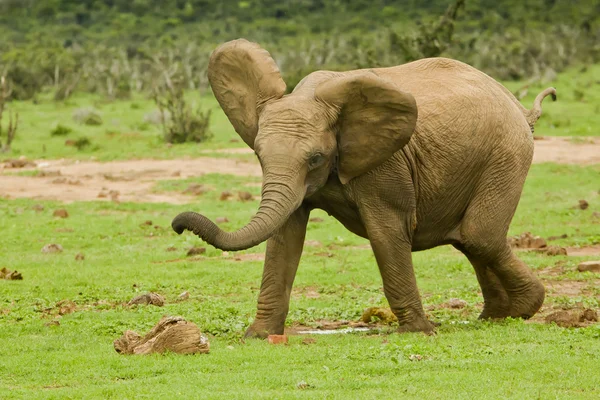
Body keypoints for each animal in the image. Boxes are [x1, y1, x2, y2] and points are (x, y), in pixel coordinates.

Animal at [171, 38, 556, 338]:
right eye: (258, 155)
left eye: (315, 158)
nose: (177, 225)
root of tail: (518, 106)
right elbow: (284, 237)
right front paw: (259, 335)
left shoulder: (385, 164)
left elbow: (386, 231)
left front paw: (418, 332)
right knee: (468, 240)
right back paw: (498, 315)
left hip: (507, 153)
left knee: (479, 236)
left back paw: (523, 308)